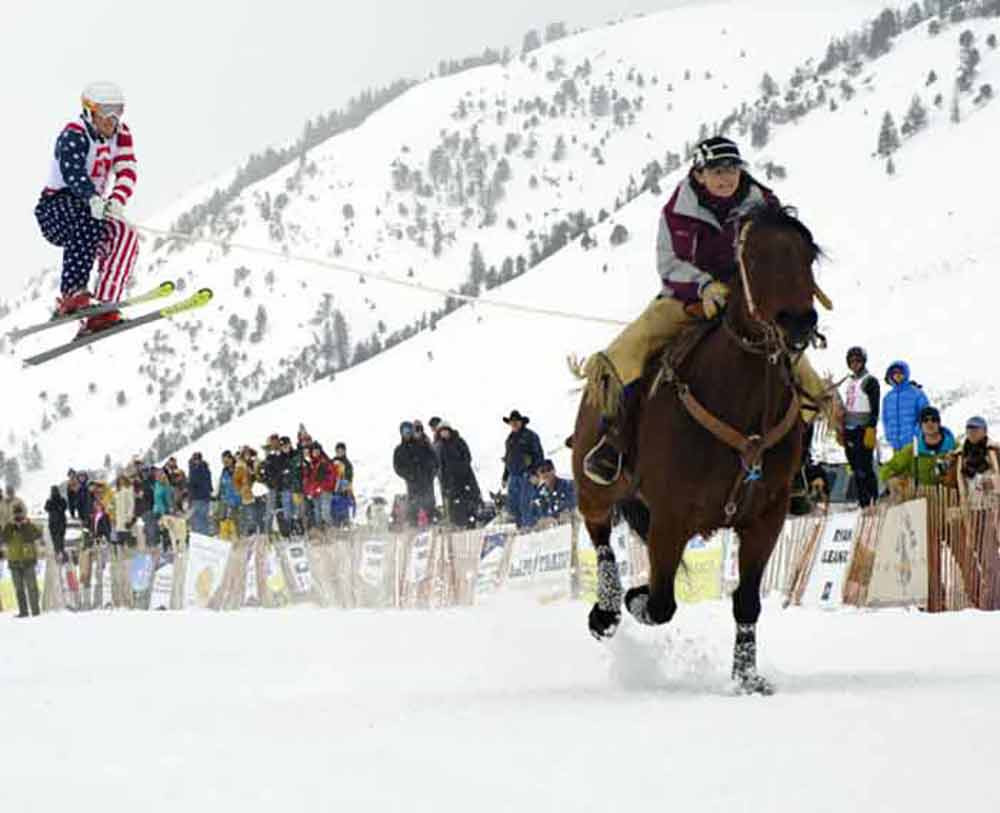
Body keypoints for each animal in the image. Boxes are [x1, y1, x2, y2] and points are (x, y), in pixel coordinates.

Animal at [572, 203, 828, 692]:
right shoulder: (670, 517)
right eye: (756, 258)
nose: (799, 322)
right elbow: (658, 603)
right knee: (599, 534)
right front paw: (633, 597)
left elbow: (746, 601)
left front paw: (746, 678)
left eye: (808, 255)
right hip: (594, 485)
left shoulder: (766, 519)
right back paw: (607, 608)